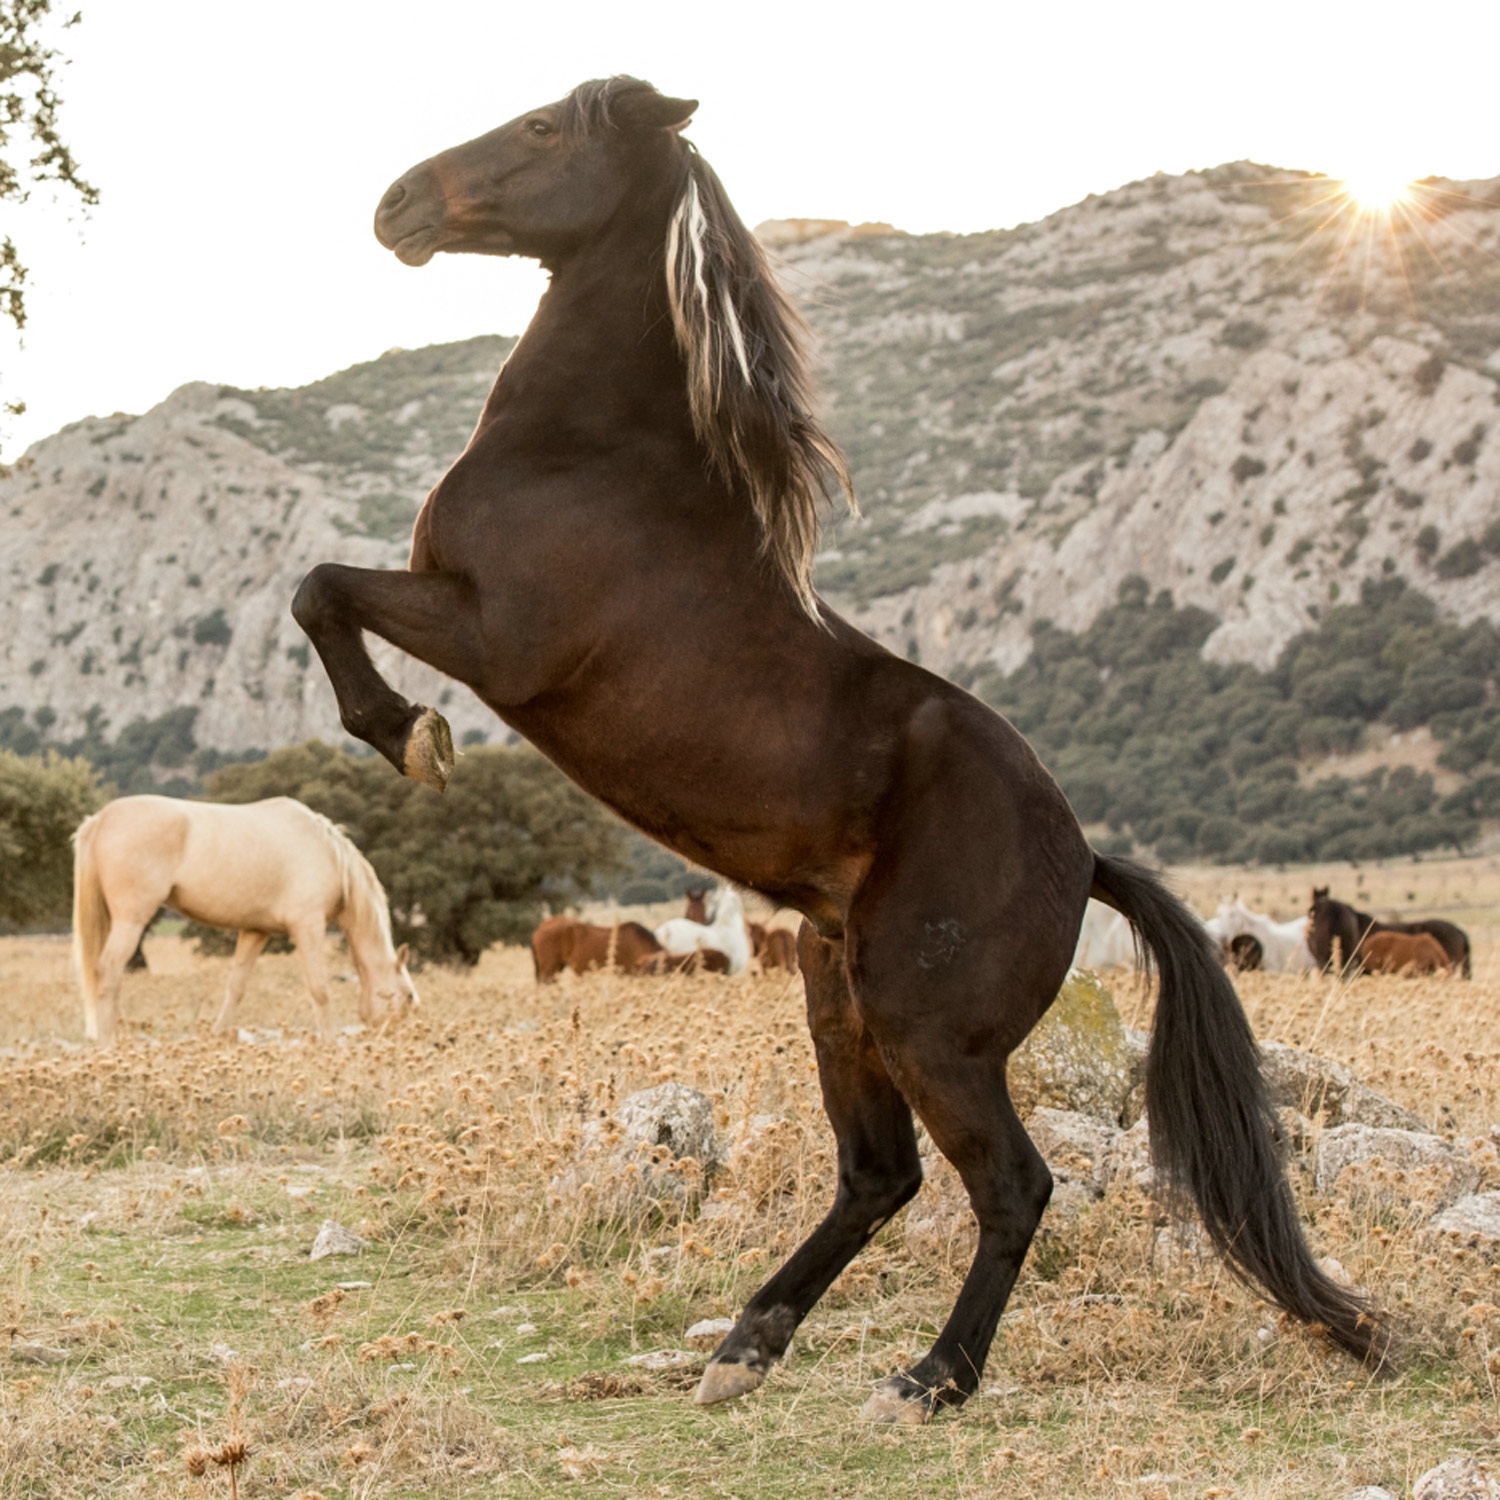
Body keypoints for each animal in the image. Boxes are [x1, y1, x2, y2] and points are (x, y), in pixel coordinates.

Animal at [72, 798, 417, 1044]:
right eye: (409, 997)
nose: (398, 1044)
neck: (328, 854)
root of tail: (100, 819)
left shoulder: (255, 932)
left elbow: (236, 987)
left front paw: (217, 1038)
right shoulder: (308, 926)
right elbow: (319, 988)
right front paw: (330, 1044)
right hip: (131, 920)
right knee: (109, 971)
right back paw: (109, 1044)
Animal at [289, 76, 1380, 1422]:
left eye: (547, 127)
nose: (396, 204)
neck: (593, 455)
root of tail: (1084, 859)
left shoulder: (489, 632)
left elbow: (322, 590)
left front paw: (412, 738)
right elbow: (320, 591)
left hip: (927, 1029)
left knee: (1009, 1186)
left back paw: (928, 1380)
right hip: (837, 999)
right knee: (878, 1175)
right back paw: (744, 1348)